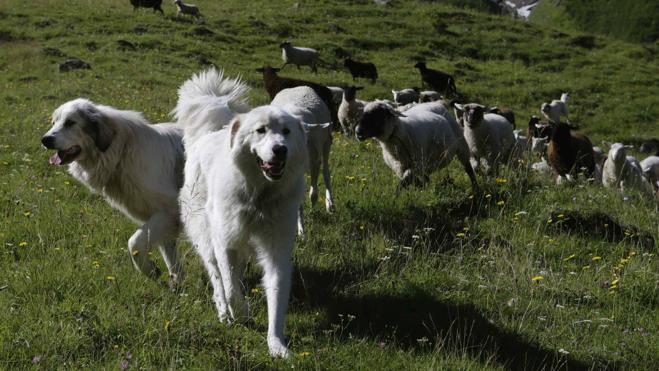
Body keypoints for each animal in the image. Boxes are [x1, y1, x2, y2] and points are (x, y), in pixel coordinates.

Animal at [41, 99, 186, 284]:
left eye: (70, 123)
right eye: (54, 123)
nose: (45, 140)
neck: (122, 150)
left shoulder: (169, 211)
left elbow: (134, 243)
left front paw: (150, 270)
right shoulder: (162, 219)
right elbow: (171, 258)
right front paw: (176, 285)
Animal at [175, 68, 310, 358]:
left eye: (287, 131)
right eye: (260, 130)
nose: (280, 149)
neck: (259, 197)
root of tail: (213, 132)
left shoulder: (276, 250)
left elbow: (276, 296)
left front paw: (276, 345)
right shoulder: (225, 243)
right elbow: (230, 288)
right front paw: (241, 313)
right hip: (206, 235)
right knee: (217, 278)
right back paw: (223, 312)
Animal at [270, 86, 336, 235]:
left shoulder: (315, 161)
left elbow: (313, 192)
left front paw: (312, 207)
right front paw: (300, 229)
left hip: (326, 143)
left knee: (326, 172)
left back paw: (330, 204)